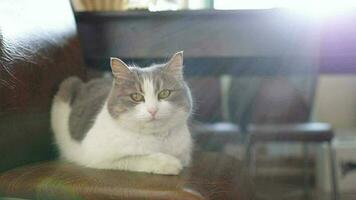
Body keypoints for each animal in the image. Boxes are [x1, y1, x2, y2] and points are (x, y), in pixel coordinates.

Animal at [50, 52, 192, 175]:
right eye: (136, 96)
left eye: (164, 93)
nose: (153, 110)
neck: (155, 138)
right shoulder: (97, 157)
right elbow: (136, 158)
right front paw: (168, 163)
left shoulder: (184, 154)